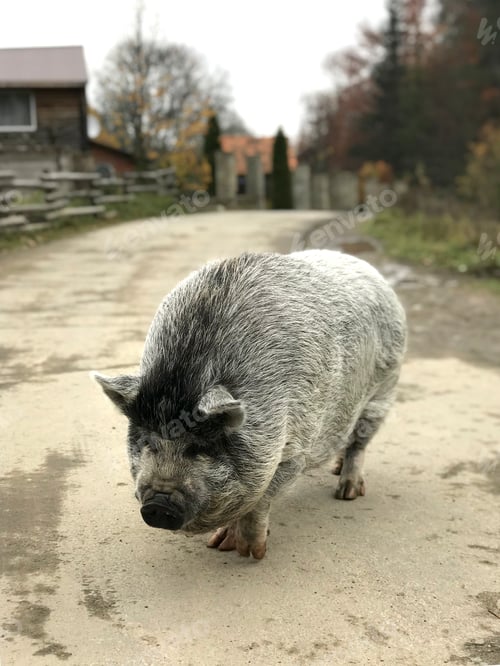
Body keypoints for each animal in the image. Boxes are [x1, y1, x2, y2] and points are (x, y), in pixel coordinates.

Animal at [93, 249, 406, 560]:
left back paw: (347, 492)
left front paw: (246, 552)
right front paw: (217, 545)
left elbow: (261, 499)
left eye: (201, 448)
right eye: (148, 442)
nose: (157, 504)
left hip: (384, 388)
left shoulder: (294, 450)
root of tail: (368, 268)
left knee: (359, 443)